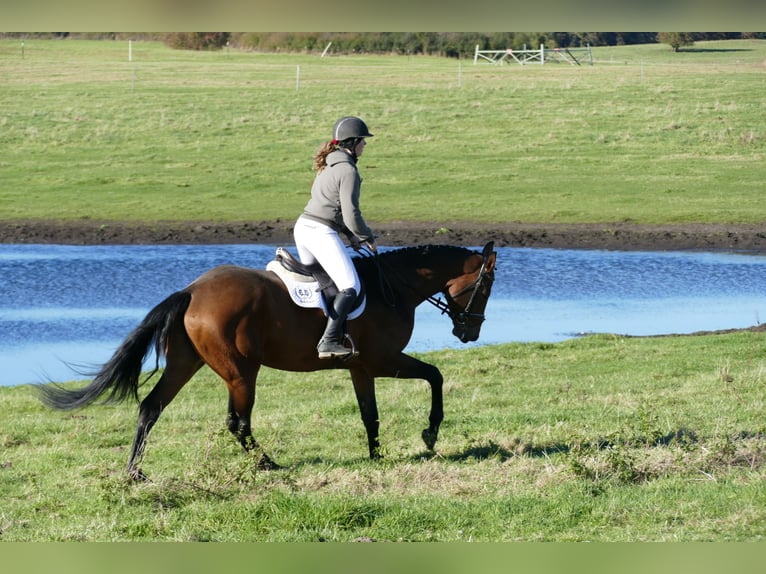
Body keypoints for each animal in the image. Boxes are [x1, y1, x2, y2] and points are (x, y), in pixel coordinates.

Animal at [38, 241, 497, 480]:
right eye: (487, 284)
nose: (469, 333)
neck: (394, 287)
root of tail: (192, 290)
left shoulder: (360, 368)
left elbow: (371, 414)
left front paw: (376, 457)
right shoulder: (382, 360)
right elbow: (434, 376)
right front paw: (430, 433)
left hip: (188, 364)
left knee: (152, 407)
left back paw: (135, 472)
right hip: (242, 372)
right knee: (238, 423)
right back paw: (268, 463)